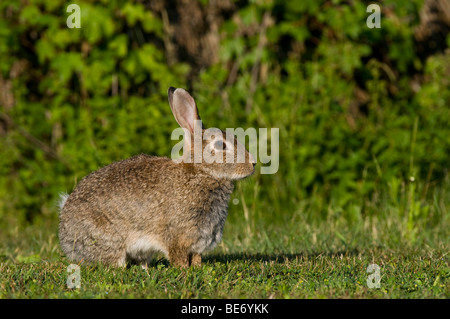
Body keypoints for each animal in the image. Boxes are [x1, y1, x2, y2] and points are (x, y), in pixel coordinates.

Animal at [59, 86, 256, 268]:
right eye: (220, 145)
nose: (253, 163)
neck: (201, 172)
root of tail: (65, 234)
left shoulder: (198, 241)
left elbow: (196, 258)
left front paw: (197, 268)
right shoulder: (177, 236)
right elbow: (178, 257)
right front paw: (184, 270)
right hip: (108, 239)